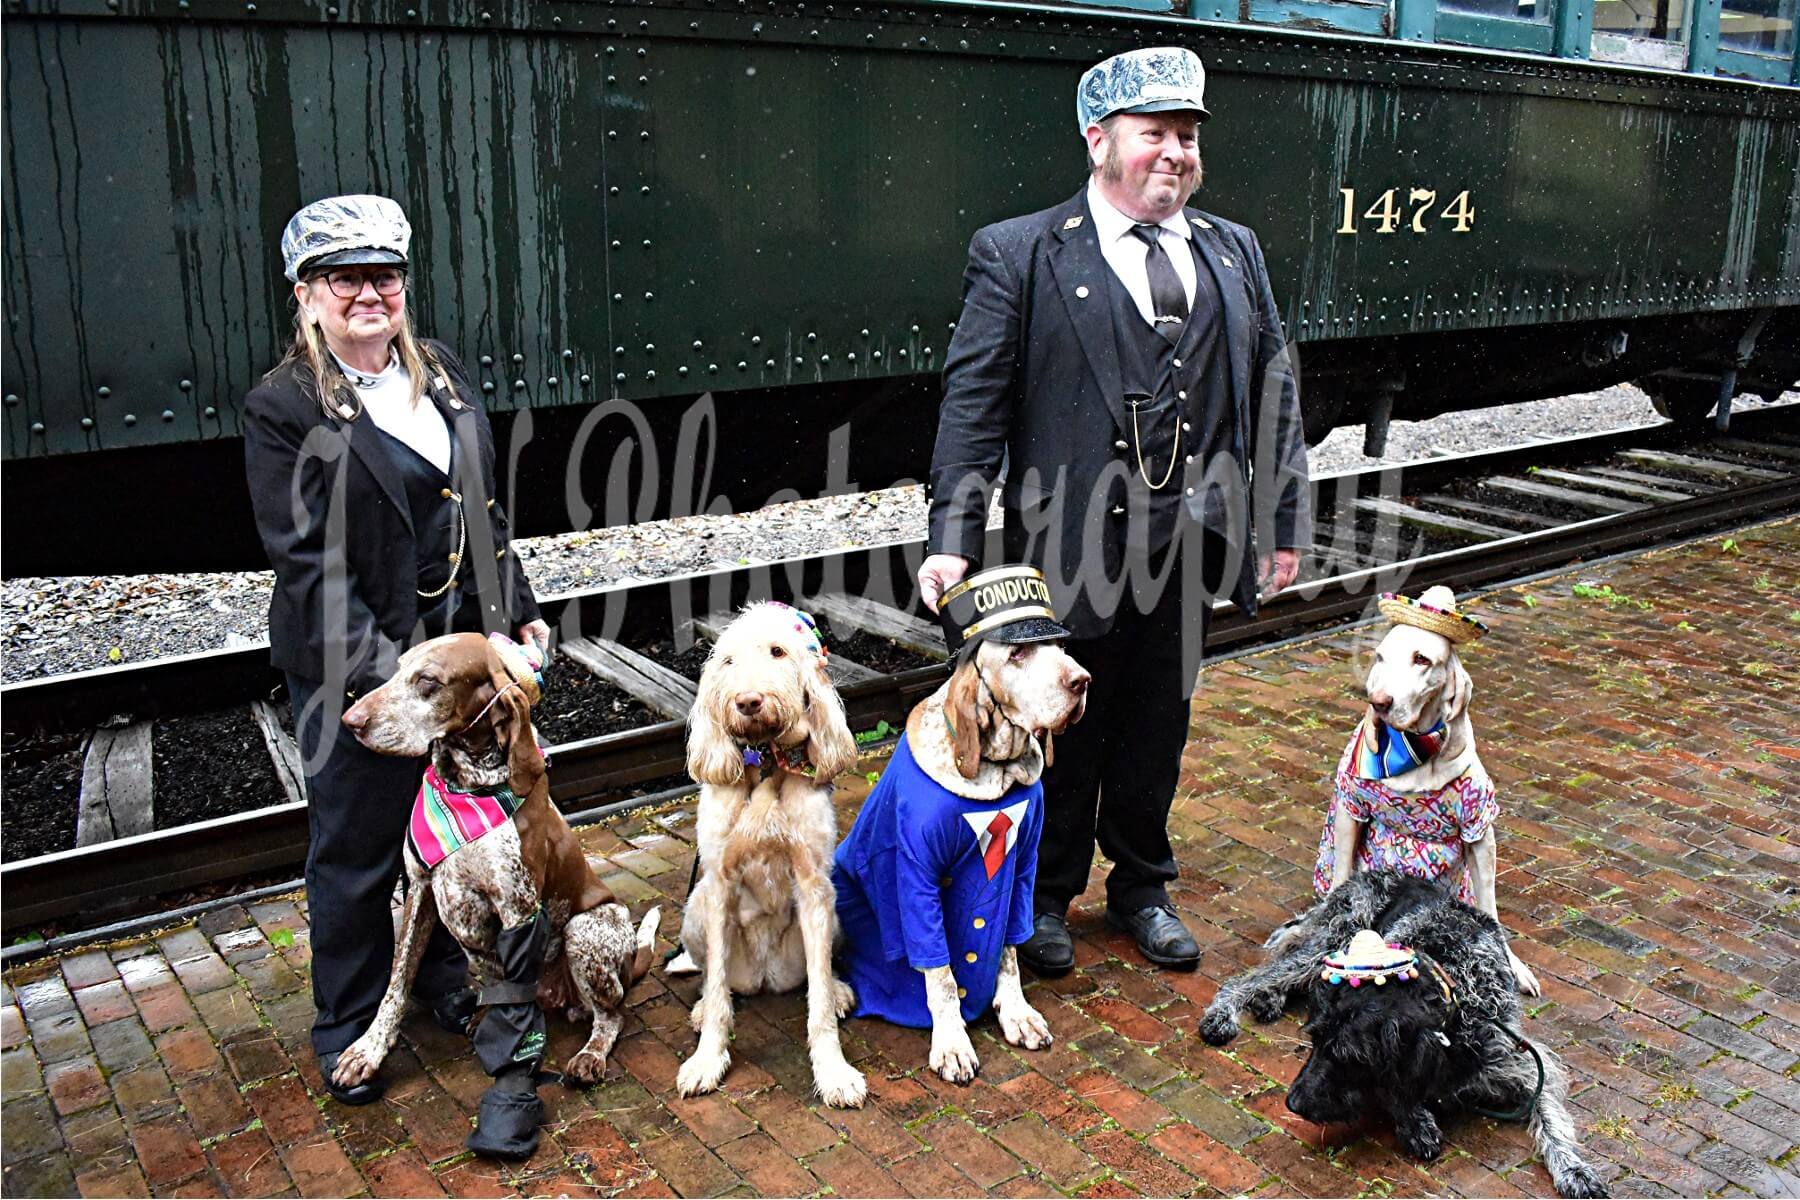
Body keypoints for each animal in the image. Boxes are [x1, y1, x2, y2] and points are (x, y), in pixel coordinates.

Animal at [334, 633, 658, 1158]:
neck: (466, 788)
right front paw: (368, 1050)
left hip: (587, 928)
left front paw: (510, 1102)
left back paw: (590, 1053)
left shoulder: (518, 910)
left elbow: (519, 1016)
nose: (352, 721)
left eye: (429, 681)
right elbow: (396, 985)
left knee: (611, 1014)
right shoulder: (421, 889)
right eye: (398, 668)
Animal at [676, 604, 871, 1115]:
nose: (748, 701)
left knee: (821, 972)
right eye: (727, 661)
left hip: (834, 915)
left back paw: (839, 989)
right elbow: (718, 989)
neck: (764, 761)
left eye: (778, 652)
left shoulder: (814, 885)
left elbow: (817, 1001)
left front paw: (833, 1071)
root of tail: (765, 976)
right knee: (716, 980)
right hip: (695, 912)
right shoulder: (719, 884)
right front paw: (707, 1058)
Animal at [1202, 874, 1612, 1200]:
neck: (1453, 983)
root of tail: (1365, 874)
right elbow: (1393, 1087)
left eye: (1349, 1055)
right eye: (1314, 1041)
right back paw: (1225, 1012)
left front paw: (1574, 1169)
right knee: (1253, 976)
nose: (1293, 1103)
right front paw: (1415, 1119)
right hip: (1331, 943)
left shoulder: (1523, 1062)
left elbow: (1552, 1119)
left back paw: (1268, 999)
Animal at [1303, 590, 1540, 993]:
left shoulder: (1479, 831)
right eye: (1380, 657)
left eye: (1421, 659)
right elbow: (1340, 878)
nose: (1379, 702)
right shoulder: (1351, 808)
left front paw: (1512, 965)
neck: (1411, 752)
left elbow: (1490, 905)